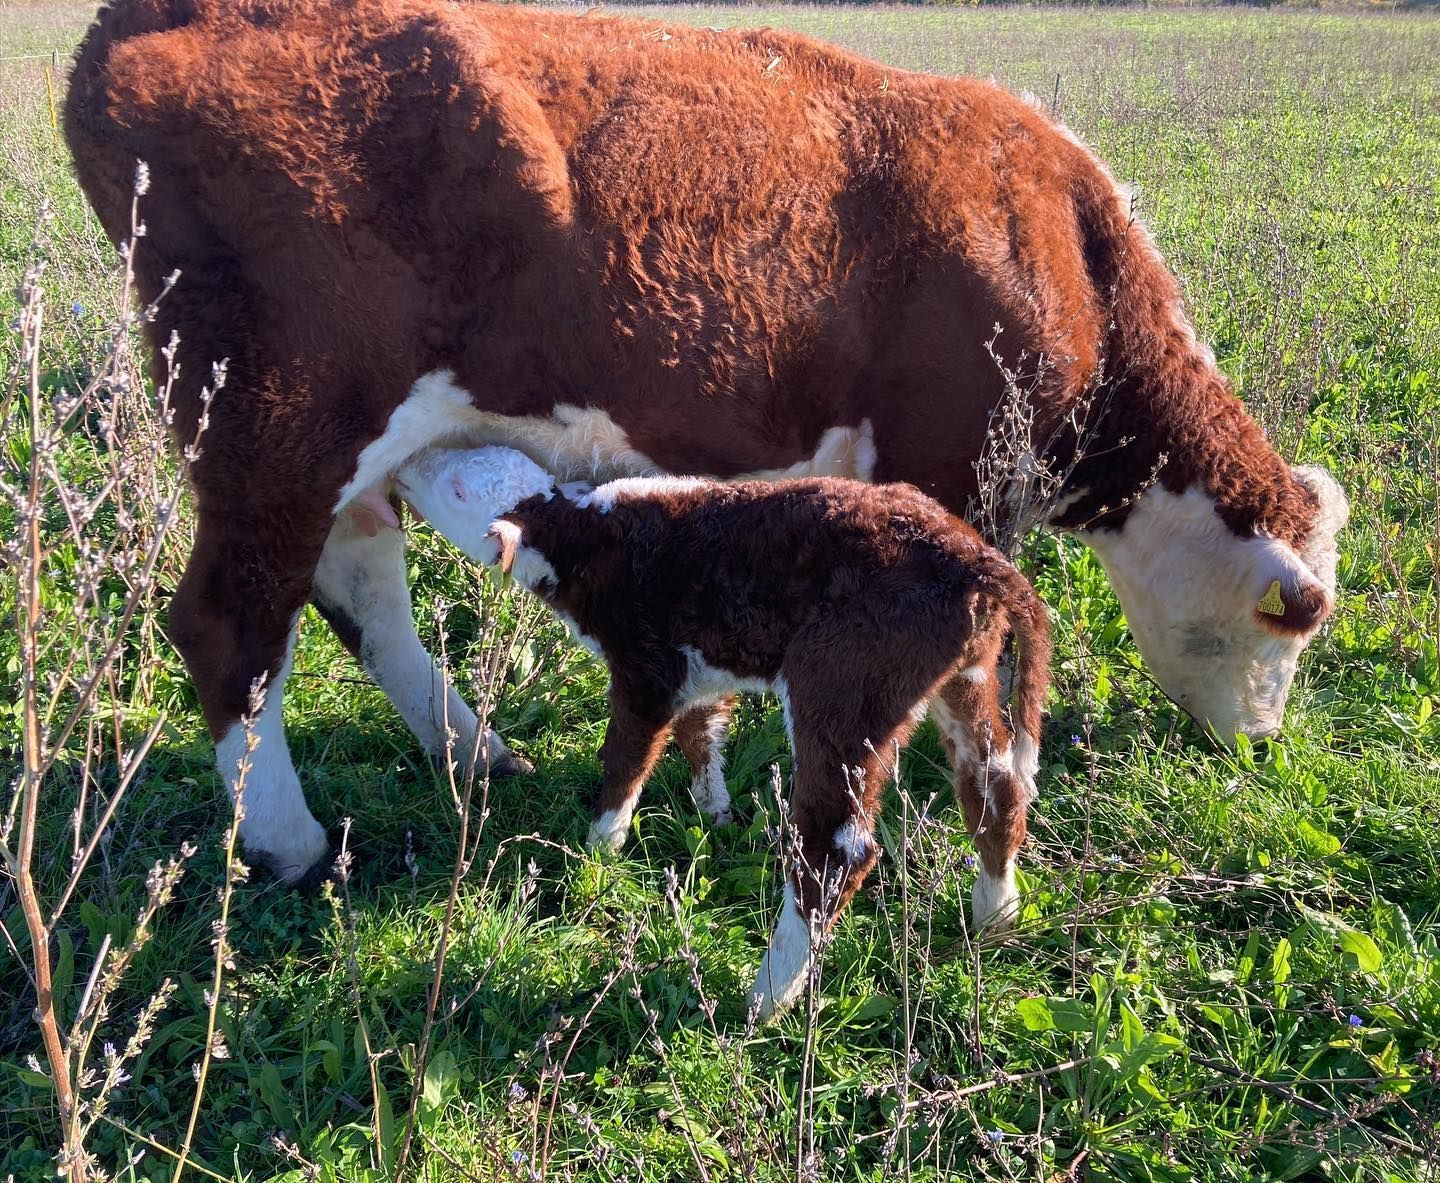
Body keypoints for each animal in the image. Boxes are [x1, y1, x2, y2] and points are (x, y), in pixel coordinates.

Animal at [64, 0, 1348, 884]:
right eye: (1289, 622)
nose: (1261, 746)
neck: (1058, 243)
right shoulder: (954, 471)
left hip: (334, 449)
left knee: (362, 589)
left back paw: (474, 754)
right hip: (276, 426)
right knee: (231, 626)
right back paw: (290, 841)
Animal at [394, 445, 1052, 1016]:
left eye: (456, 488)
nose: (403, 467)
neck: (588, 539)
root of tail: (971, 556)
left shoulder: (646, 665)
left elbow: (627, 759)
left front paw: (596, 851)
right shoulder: (698, 667)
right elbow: (701, 735)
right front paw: (716, 815)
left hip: (843, 683)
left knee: (835, 850)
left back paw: (767, 999)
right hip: (966, 671)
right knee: (995, 785)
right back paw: (995, 917)